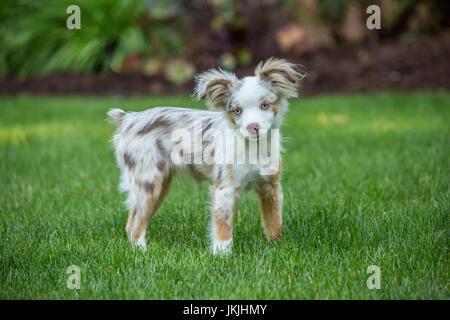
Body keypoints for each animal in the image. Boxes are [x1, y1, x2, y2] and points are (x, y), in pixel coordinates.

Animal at [107, 57, 304, 252]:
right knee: (135, 225)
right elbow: (224, 228)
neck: (252, 147)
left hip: (160, 186)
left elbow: (274, 222)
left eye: (265, 105)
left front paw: (275, 247)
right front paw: (222, 254)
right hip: (147, 181)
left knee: (133, 221)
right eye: (237, 111)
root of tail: (128, 119)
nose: (253, 127)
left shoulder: (271, 187)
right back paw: (142, 252)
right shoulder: (224, 189)